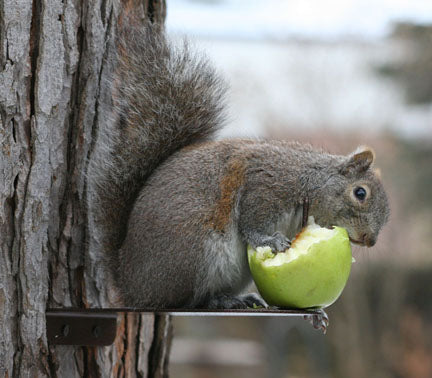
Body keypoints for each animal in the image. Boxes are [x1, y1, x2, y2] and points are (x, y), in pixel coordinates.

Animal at [87, 21, 388, 310]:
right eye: (360, 193)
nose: (370, 240)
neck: (310, 181)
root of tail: (129, 282)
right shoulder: (266, 186)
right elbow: (251, 221)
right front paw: (269, 240)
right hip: (193, 250)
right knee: (186, 300)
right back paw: (217, 301)